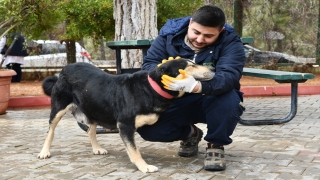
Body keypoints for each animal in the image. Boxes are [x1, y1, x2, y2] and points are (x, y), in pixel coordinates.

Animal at [37, 58, 215, 173]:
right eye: (190, 66)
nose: (214, 69)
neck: (151, 88)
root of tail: (63, 70)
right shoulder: (125, 125)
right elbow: (134, 151)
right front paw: (144, 166)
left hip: (93, 108)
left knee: (90, 130)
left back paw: (96, 148)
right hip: (58, 109)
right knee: (50, 131)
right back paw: (44, 151)